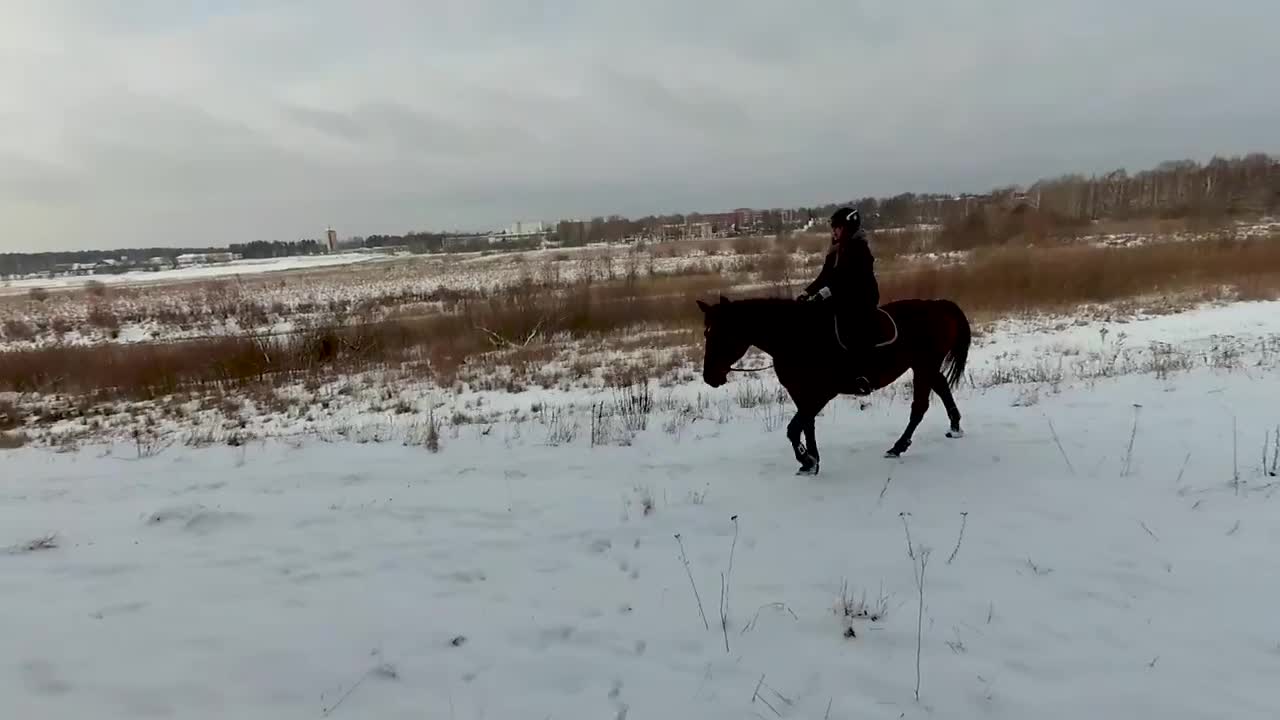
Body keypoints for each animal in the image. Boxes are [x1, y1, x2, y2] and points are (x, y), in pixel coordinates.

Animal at [701, 294, 967, 474]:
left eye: (720, 334)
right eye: (706, 334)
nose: (709, 377)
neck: (796, 337)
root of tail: (938, 305)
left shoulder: (823, 392)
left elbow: (794, 428)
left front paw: (806, 460)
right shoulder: (801, 392)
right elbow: (806, 425)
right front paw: (811, 461)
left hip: (924, 366)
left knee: (920, 406)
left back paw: (898, 447)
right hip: (926, 367)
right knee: (942, 388)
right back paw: (954, 427)